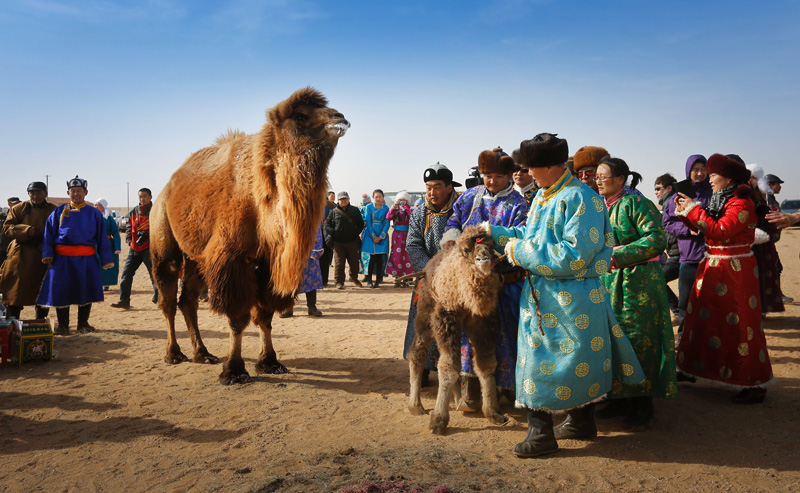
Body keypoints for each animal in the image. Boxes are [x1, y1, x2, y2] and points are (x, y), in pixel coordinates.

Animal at [152, 86, 348, 382]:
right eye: (301, 116)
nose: (340, 117)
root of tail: (167, 188)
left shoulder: (267, 263)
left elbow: (265, 315)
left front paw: (270, 362)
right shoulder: (231, 259)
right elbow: (238, 317)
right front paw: (233, 370)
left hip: (197, 258)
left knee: (188, 301)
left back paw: (203, 353)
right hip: (163, 237)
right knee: (168, 299)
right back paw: (173, 354)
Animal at [410, 225, 510, 432]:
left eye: (490, 247)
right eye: (466, 250)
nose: (483, 258)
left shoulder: (483, 322)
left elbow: (485, 364)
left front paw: (493, 413)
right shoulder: (447, 317)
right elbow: (449, 366)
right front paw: (438, 420)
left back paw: (458, 400)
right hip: (426, 313)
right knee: (418, 352)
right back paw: (416, 405)